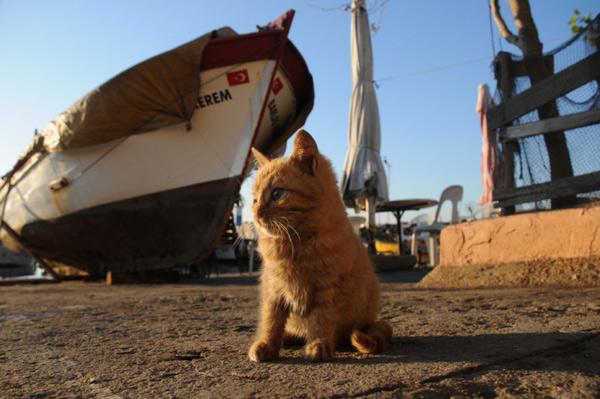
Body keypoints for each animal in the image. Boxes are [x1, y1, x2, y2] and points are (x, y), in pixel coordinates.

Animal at [247, 130, 392, 362]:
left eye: (277, 193)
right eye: (254, 199)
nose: (256, 214)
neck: (295, 242)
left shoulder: (328, 287)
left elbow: (321, 318)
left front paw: (319, 343)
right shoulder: (273, 289)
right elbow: (271, 320)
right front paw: (266, 344)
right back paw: (286, 338)